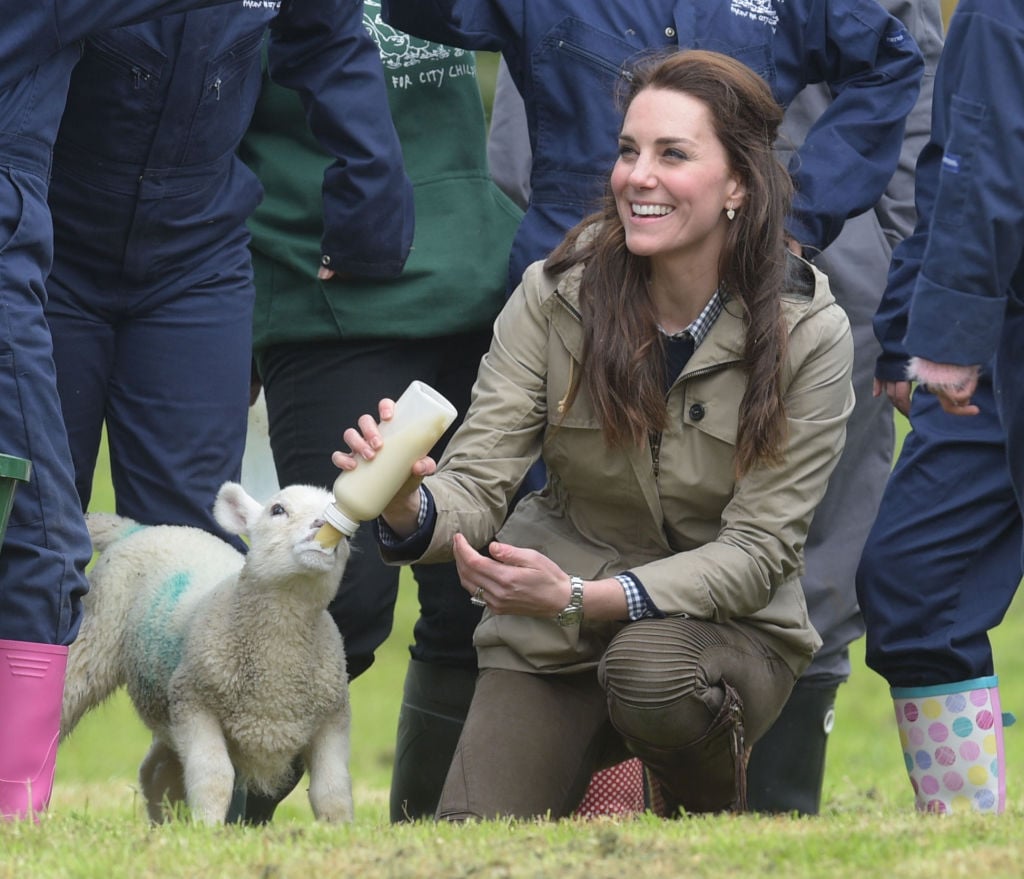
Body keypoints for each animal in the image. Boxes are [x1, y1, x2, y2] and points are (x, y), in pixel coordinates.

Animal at [62, 479, 356, 823]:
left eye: (345, 525)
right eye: (277, 509)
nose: (322, 526)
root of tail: (137, 528)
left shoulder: (332, 719)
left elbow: (332, 791)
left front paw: (340, 830)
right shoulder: (195, 704)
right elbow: (214, 776)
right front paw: (208, 827)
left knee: (155, 770)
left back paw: (165, 824)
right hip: (96, 634)